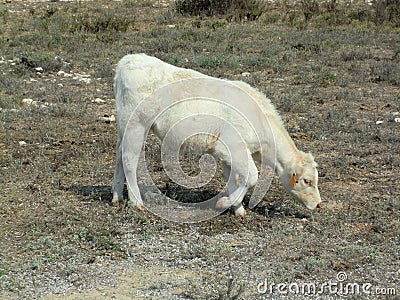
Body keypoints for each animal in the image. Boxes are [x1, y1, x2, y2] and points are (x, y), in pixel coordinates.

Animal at [111, 54, 322, 217]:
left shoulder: (229, 154)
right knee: (129, 160)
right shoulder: (231, 146)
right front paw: (226, 203)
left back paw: (117, 196)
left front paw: (237, 209)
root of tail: (129, 59)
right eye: (307, 181)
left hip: (125, 128)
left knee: (119, 156)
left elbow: (234, 179)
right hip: (136, 125)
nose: (319, 204)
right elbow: (252, 177)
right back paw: (136, 202)